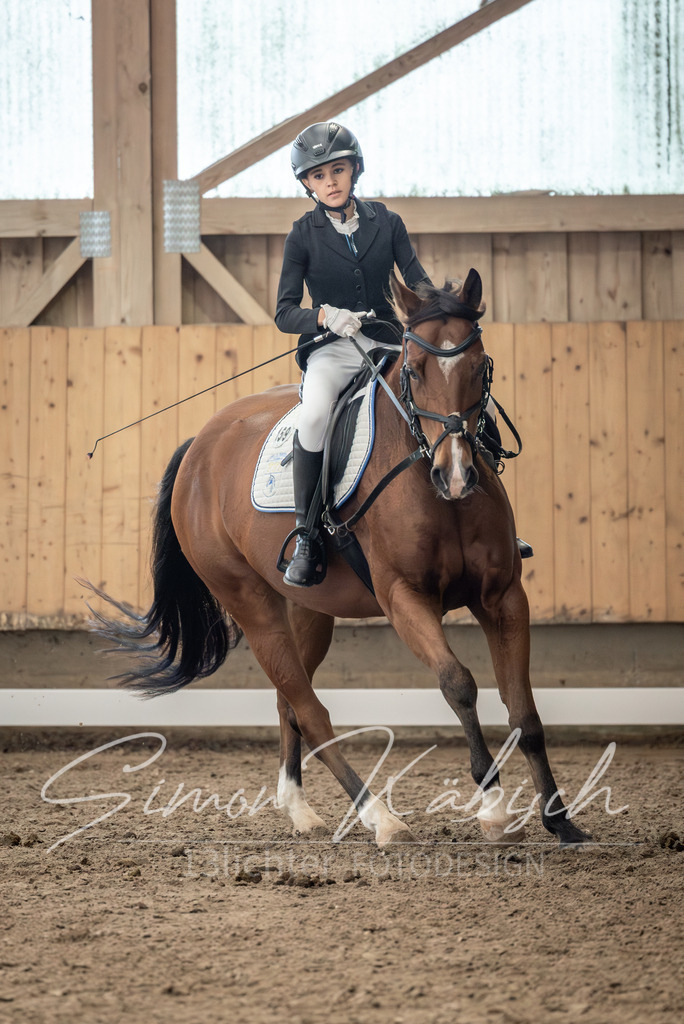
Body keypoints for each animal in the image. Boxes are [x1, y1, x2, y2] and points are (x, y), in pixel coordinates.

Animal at [89, 269, 591, 849]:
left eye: (479, 365)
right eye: (414, 371)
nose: (457, 474)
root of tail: (199, 446)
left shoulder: (504, 596)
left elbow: (524, 712)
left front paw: (560, 819)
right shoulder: (404, 598)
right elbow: (459, 684)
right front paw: (494, 811)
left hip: (309, 609)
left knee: (289, 702)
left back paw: (300, 810)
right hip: (250, 604)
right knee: (310, 710)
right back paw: (380, 817)